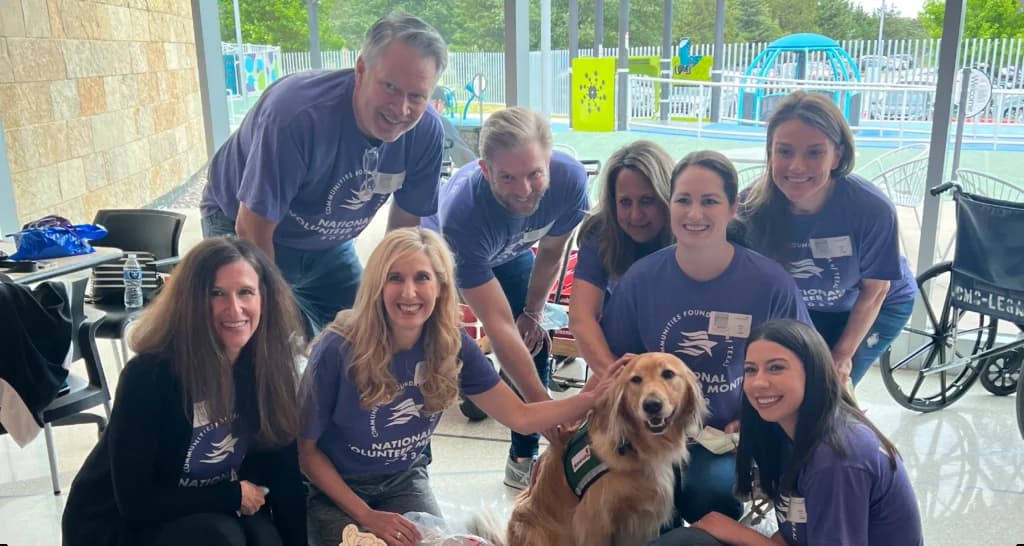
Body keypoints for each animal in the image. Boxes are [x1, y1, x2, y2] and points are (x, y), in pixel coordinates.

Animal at [471, 350, 704, 540]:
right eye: (636, 379)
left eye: (668, 374)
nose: (652, 405)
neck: (635, 446)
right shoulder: (594, 521)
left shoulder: (644, 519)